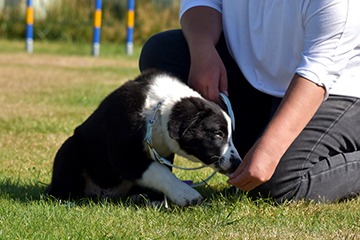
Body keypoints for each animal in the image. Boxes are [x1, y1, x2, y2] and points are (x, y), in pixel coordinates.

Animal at [45, 69, 242, 206]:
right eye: (218, 134)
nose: (237, 164)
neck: (157, 110)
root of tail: (102, 194)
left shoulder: (163, 153)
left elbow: (163, 169)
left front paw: (159, 200)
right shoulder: (121, 154)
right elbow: (158, 171)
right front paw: (185, 193)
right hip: (70, 149)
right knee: (58, 188)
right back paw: (67, 201)